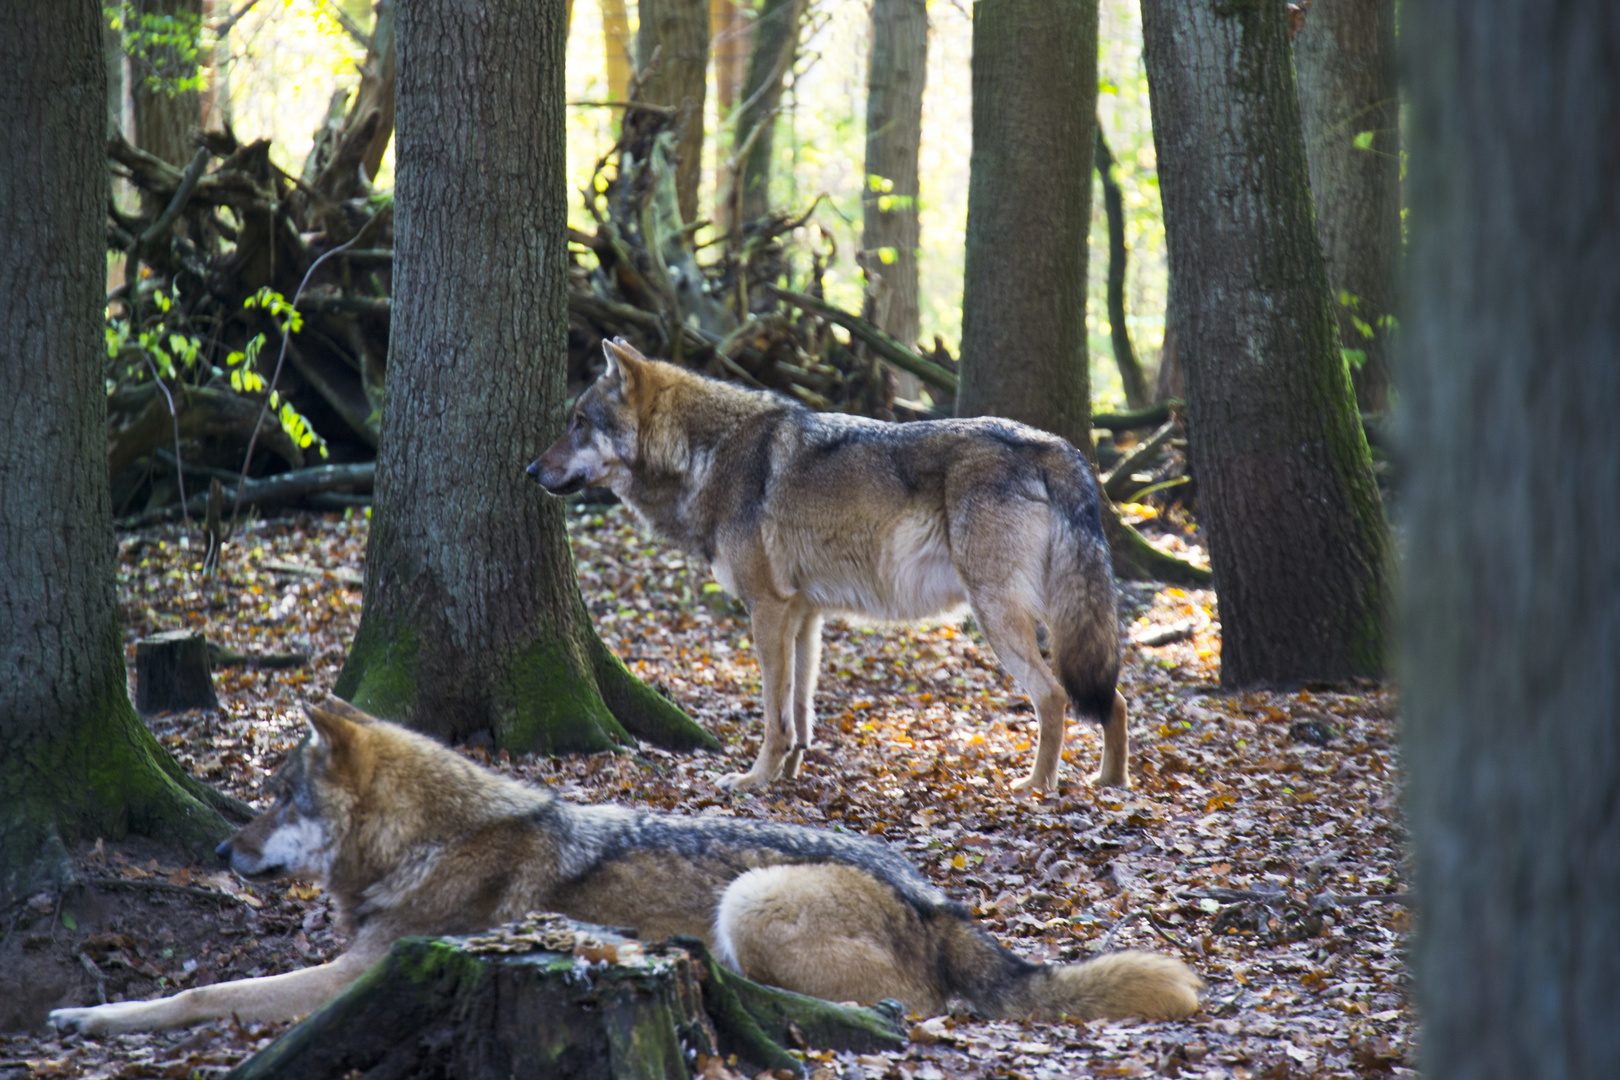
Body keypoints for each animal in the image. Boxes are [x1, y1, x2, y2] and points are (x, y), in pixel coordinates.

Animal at [50, 702, 1198, 1036]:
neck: (429, 839)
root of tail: (942, 899)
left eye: (279, 799)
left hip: (748, 902)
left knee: (889, 1015)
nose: (217, 850)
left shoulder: (361, 974)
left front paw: (86, 1017)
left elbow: (205, 990)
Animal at [528, 340, 1127, 793]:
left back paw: (1038, 788)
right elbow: (799, 711)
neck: (707, 453)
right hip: (1054, 616)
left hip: (999, 615)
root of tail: (1058, 448)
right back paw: (1110, 782)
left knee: (1053, 696)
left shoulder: (767, 609)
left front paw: (753, 780)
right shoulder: (804, 616)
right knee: (1112, 696)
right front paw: (788, 774)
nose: (531, 470)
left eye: (579, 422)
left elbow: (772, 713)